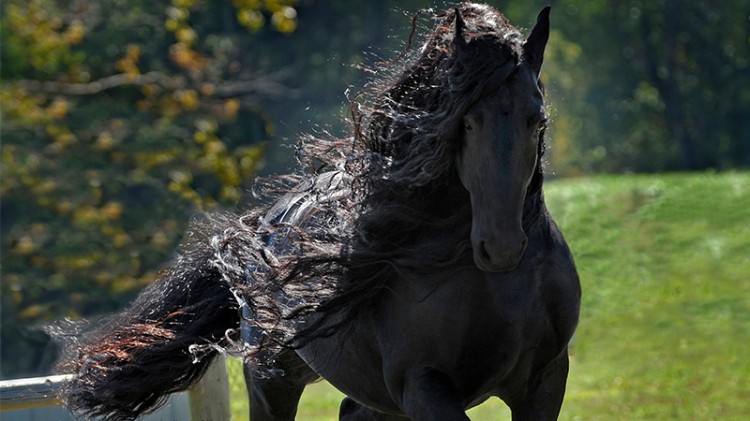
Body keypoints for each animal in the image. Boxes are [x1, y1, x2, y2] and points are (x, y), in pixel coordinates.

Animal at [54, 4, 580, 420]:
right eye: (467, 121)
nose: (501, 246)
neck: (495, 288)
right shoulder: (424, 387)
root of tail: (262, 227)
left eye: (537, 120)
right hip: (273, 380)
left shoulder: (545, 381)